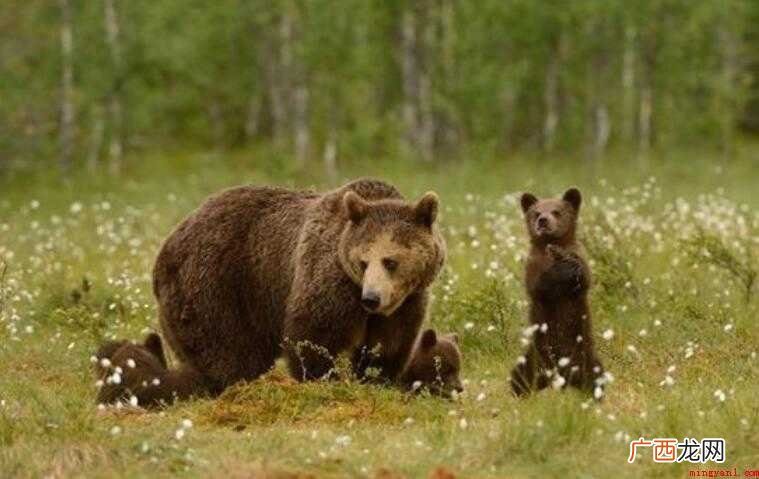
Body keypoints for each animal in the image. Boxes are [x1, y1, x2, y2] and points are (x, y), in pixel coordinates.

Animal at [93, 178, 446, 406]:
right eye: (363, 261)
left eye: (391, 261)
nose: (371, 298)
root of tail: (163, 251)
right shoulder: (329, 280)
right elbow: (313, 335)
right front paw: (323, 382)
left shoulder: (406, 303)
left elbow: (389, 345)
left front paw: (377, 380)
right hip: (215, 288)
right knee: (227, 355)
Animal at [509, 187, 605, 398]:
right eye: (536, 212)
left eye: (556, 211)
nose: (543, 221)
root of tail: (562, 377)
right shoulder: (533, 266)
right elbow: (538, 287)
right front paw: (560, 270)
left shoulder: (579, 257)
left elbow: (583, 279)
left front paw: (569, 266)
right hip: (535, 355)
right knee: (519, 373)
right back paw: (521, 391)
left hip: (585, 353)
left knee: (596, 373)